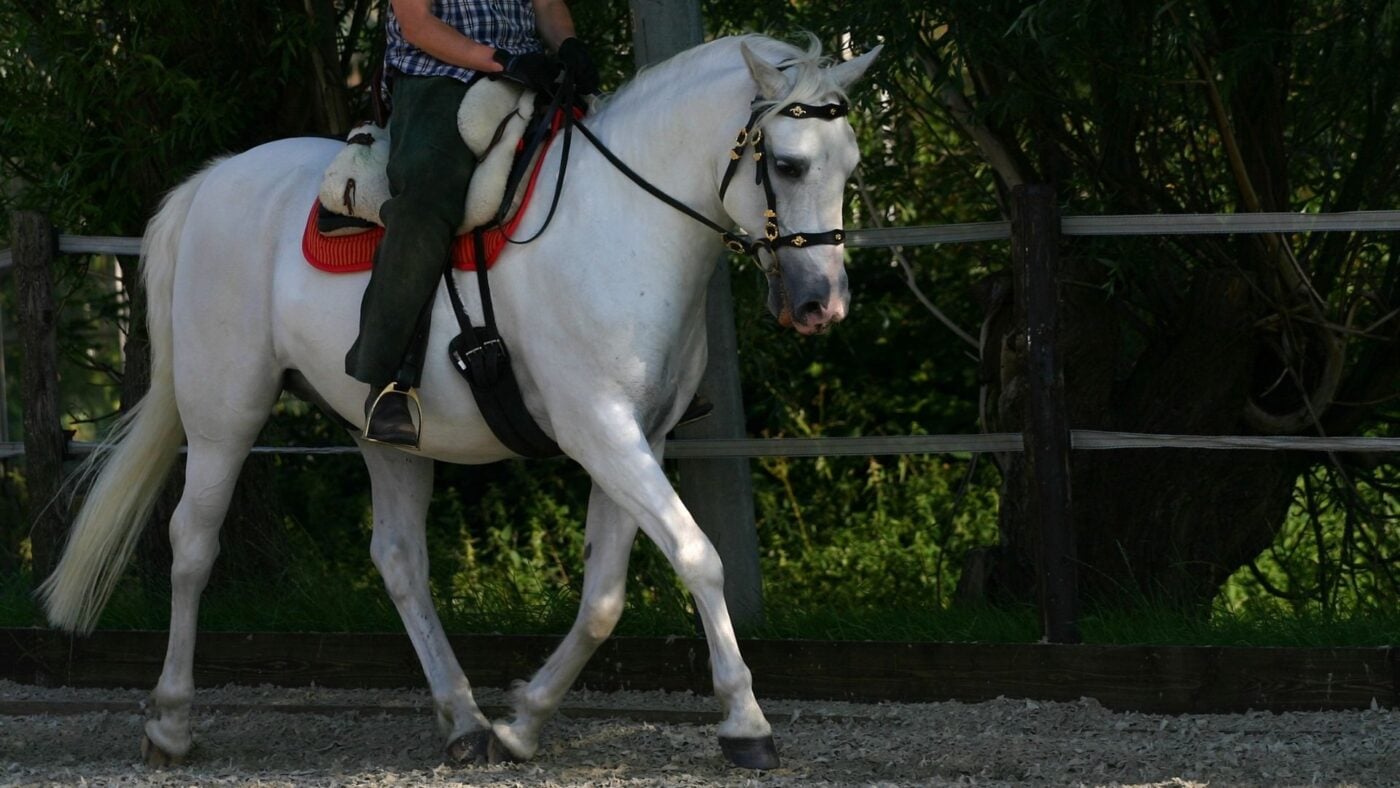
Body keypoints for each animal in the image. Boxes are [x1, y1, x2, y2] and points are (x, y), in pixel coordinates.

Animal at [38, 33, 879, 770]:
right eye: (786, 163)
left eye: (851, 164)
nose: (823, 305)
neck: (621, 222)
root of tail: (211, 180)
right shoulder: (601, 431)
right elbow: (699, 557)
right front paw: (747, 724)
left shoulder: (638, 436)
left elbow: (604, 598)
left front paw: (522, 723)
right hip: (224, 412)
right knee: (192, 544)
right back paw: (171, 725)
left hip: (383, 433)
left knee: (399, 559)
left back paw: (466, 720)